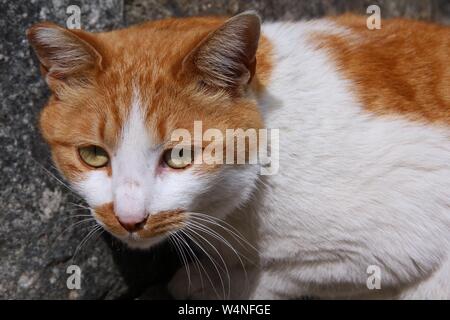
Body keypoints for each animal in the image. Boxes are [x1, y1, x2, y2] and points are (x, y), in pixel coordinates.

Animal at [28, 10, 450, 298]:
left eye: (179, 155)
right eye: (94, 155)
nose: (129, 219)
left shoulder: (394, 244)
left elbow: (281, 274)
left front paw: (209, 281)